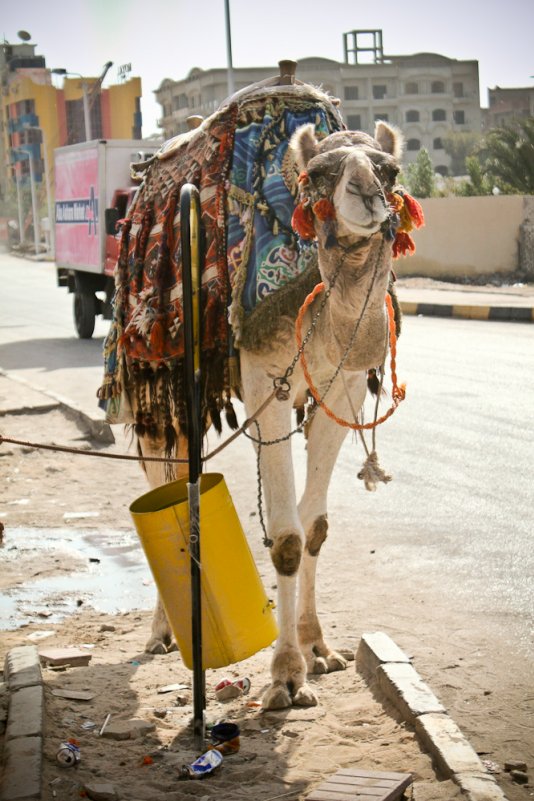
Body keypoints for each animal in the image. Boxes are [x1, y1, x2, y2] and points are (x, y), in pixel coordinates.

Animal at [100, 76, 422, 712]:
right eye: (320, 173)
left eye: (390, 168)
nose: (368, 194)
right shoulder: (264, 382)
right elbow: (288, 539)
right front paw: (285, 677)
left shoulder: (342, 390)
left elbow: (315, 527)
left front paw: (319, 649)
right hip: (157, 385)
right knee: (164, 475)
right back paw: (162, 634)